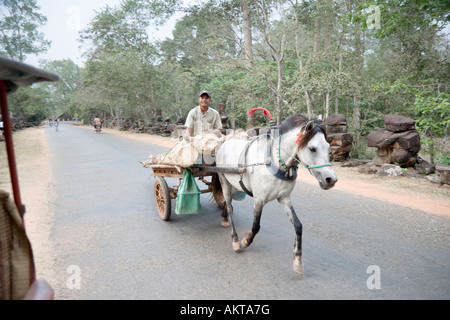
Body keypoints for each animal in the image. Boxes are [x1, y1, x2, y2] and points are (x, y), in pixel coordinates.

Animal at [215, 114, 338, 274]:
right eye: (312, 148)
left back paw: (224, 218)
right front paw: (246, 241)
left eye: (328, 147)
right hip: (223, 179)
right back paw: (235, 240)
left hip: (235, 185)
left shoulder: (284, 198)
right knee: (229, 207)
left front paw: (298, 260)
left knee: (227, 204)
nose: (331, 180)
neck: (274, 161)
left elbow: (298, 226)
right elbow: (256, 226)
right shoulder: (259, 200)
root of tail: (224, 142)